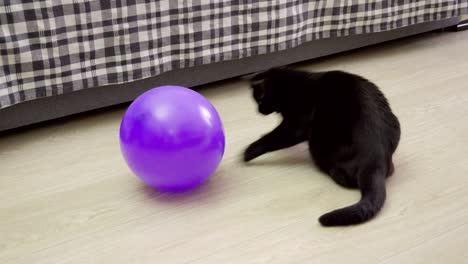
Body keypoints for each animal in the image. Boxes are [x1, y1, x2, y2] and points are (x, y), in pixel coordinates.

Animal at [243, 67, 400, 226]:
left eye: (259, 99)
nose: (258, 111)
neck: (291, 86)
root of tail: (375, 161)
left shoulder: (295, 125)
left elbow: (270, 139)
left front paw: (247, 153)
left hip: (316, 143)